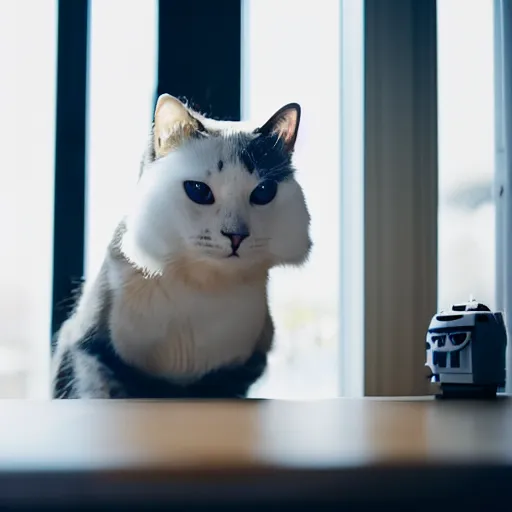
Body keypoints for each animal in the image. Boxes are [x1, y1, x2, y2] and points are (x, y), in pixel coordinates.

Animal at [52, 95, 310, 400]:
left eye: (263, 192)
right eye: (199, 191)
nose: (236, 236)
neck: (203, 288)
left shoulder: (236, 373)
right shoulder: (93, 352)